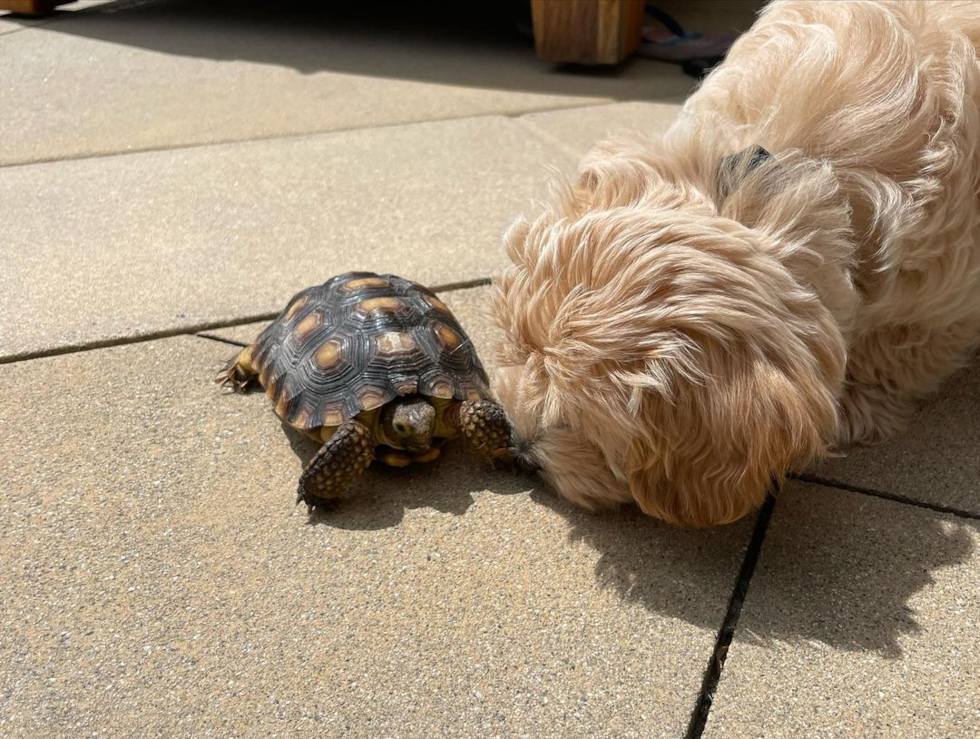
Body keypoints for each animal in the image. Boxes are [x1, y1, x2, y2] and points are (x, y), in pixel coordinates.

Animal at [494, 2, 980, 528]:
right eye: (517, 349)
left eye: (580, 425)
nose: (519, 451)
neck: (781, 169)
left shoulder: (949, 295)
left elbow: (903, 343)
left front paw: (860, 400)